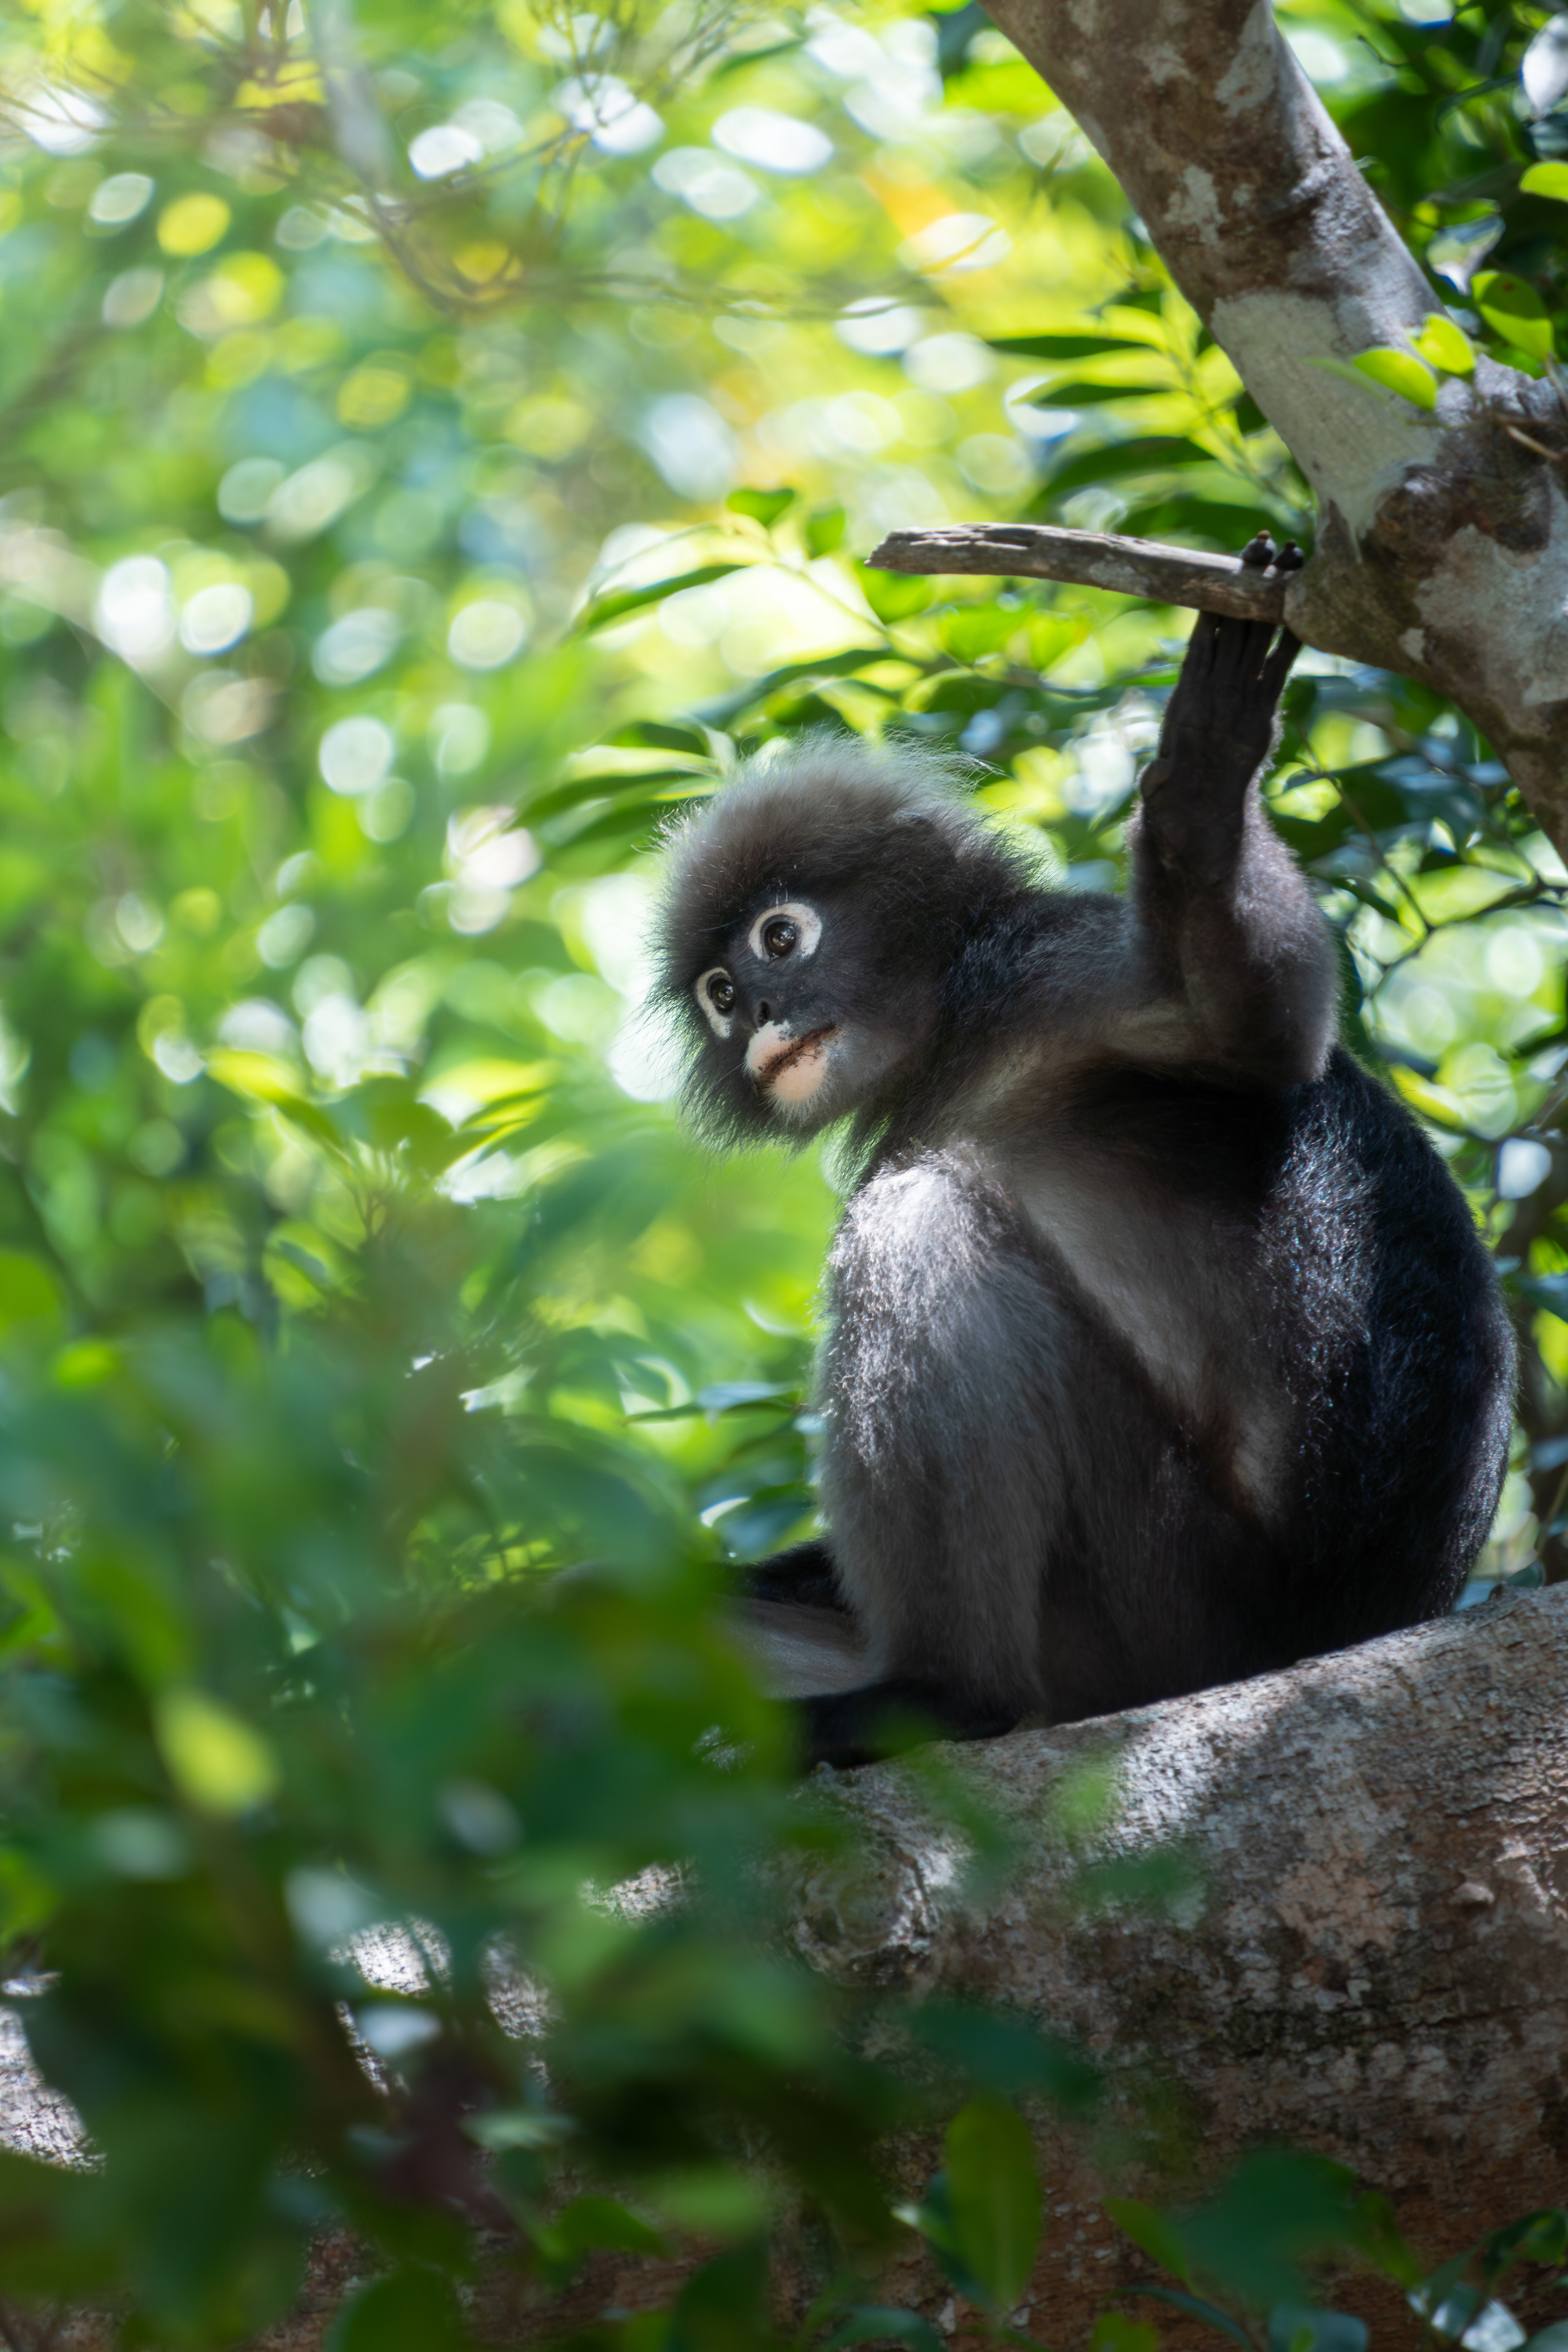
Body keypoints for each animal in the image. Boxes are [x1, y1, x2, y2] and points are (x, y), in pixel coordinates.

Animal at [651, 578, 1516, 1770]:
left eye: (781, 939)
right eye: (722, 995)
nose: (761, 1020)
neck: (955, 1037)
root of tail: (1341, 1631)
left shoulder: (1055, 974)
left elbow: (1257, 1024)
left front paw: (1202, 783)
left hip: (1171, 1604)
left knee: (914, 1222)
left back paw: (939, 1693)